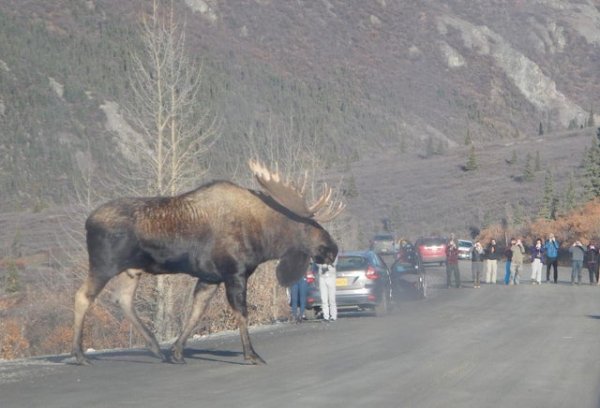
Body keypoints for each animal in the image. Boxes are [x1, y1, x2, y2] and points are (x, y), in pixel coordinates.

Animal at [71, 159, 342, 364]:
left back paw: (155, 347)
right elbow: (241, 313)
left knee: (123, 299)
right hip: (104, 264)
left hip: (131, 270)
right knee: (83, 296)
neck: (264, 240)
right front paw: (251, 354)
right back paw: (79, 355)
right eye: (309, 225)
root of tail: (87, 221)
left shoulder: (210, 277)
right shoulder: (234, 273)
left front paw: (177, 352)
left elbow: (196, 313)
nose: (333, 249)